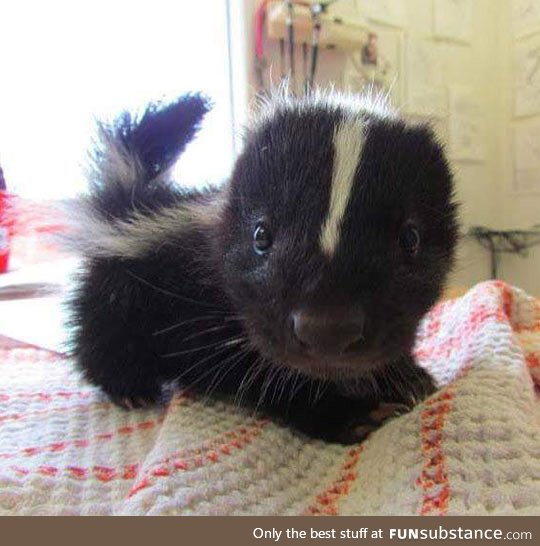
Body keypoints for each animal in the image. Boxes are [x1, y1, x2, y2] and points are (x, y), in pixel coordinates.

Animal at [65, 89, 458, 442]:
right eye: (261, 236)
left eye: (410, 239)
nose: (327, 330)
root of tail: (134, 202)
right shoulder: (216, 319)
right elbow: (262, 374)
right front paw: (348, 414)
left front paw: (407, 377)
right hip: (118, 292)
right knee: (102, 338)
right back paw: (131, 391)